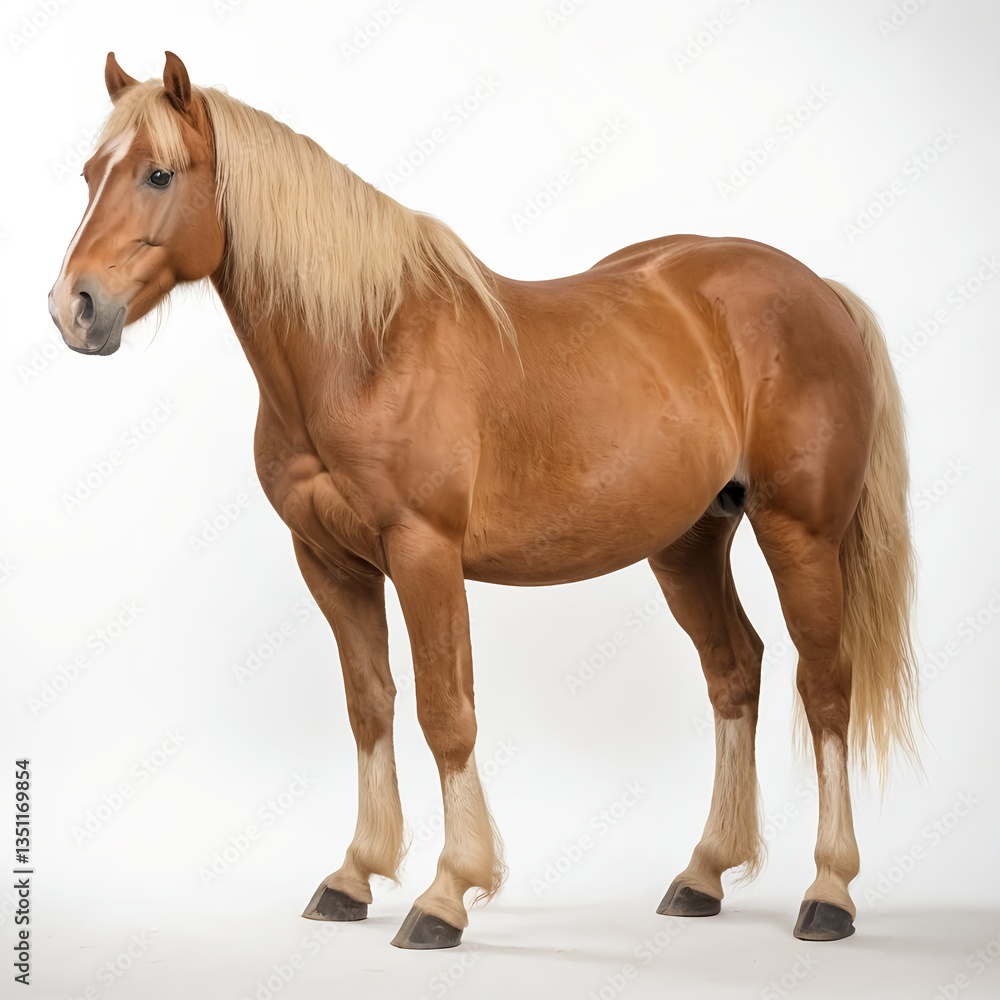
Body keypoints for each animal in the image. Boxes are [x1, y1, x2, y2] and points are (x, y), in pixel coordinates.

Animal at [49, 51, 919, 950]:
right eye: (88, 174)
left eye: (158, 174)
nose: (73, 308)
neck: (365, 348)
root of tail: (817, 289)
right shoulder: (330, 564)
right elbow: (370, 707)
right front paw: (354, 875)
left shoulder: (424, 553)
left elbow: (446, 713)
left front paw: (445, 893)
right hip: (688, 544)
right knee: (735, 671)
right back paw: (703, 874)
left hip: (800, 535)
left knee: (826, 687)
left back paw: (829, 891)